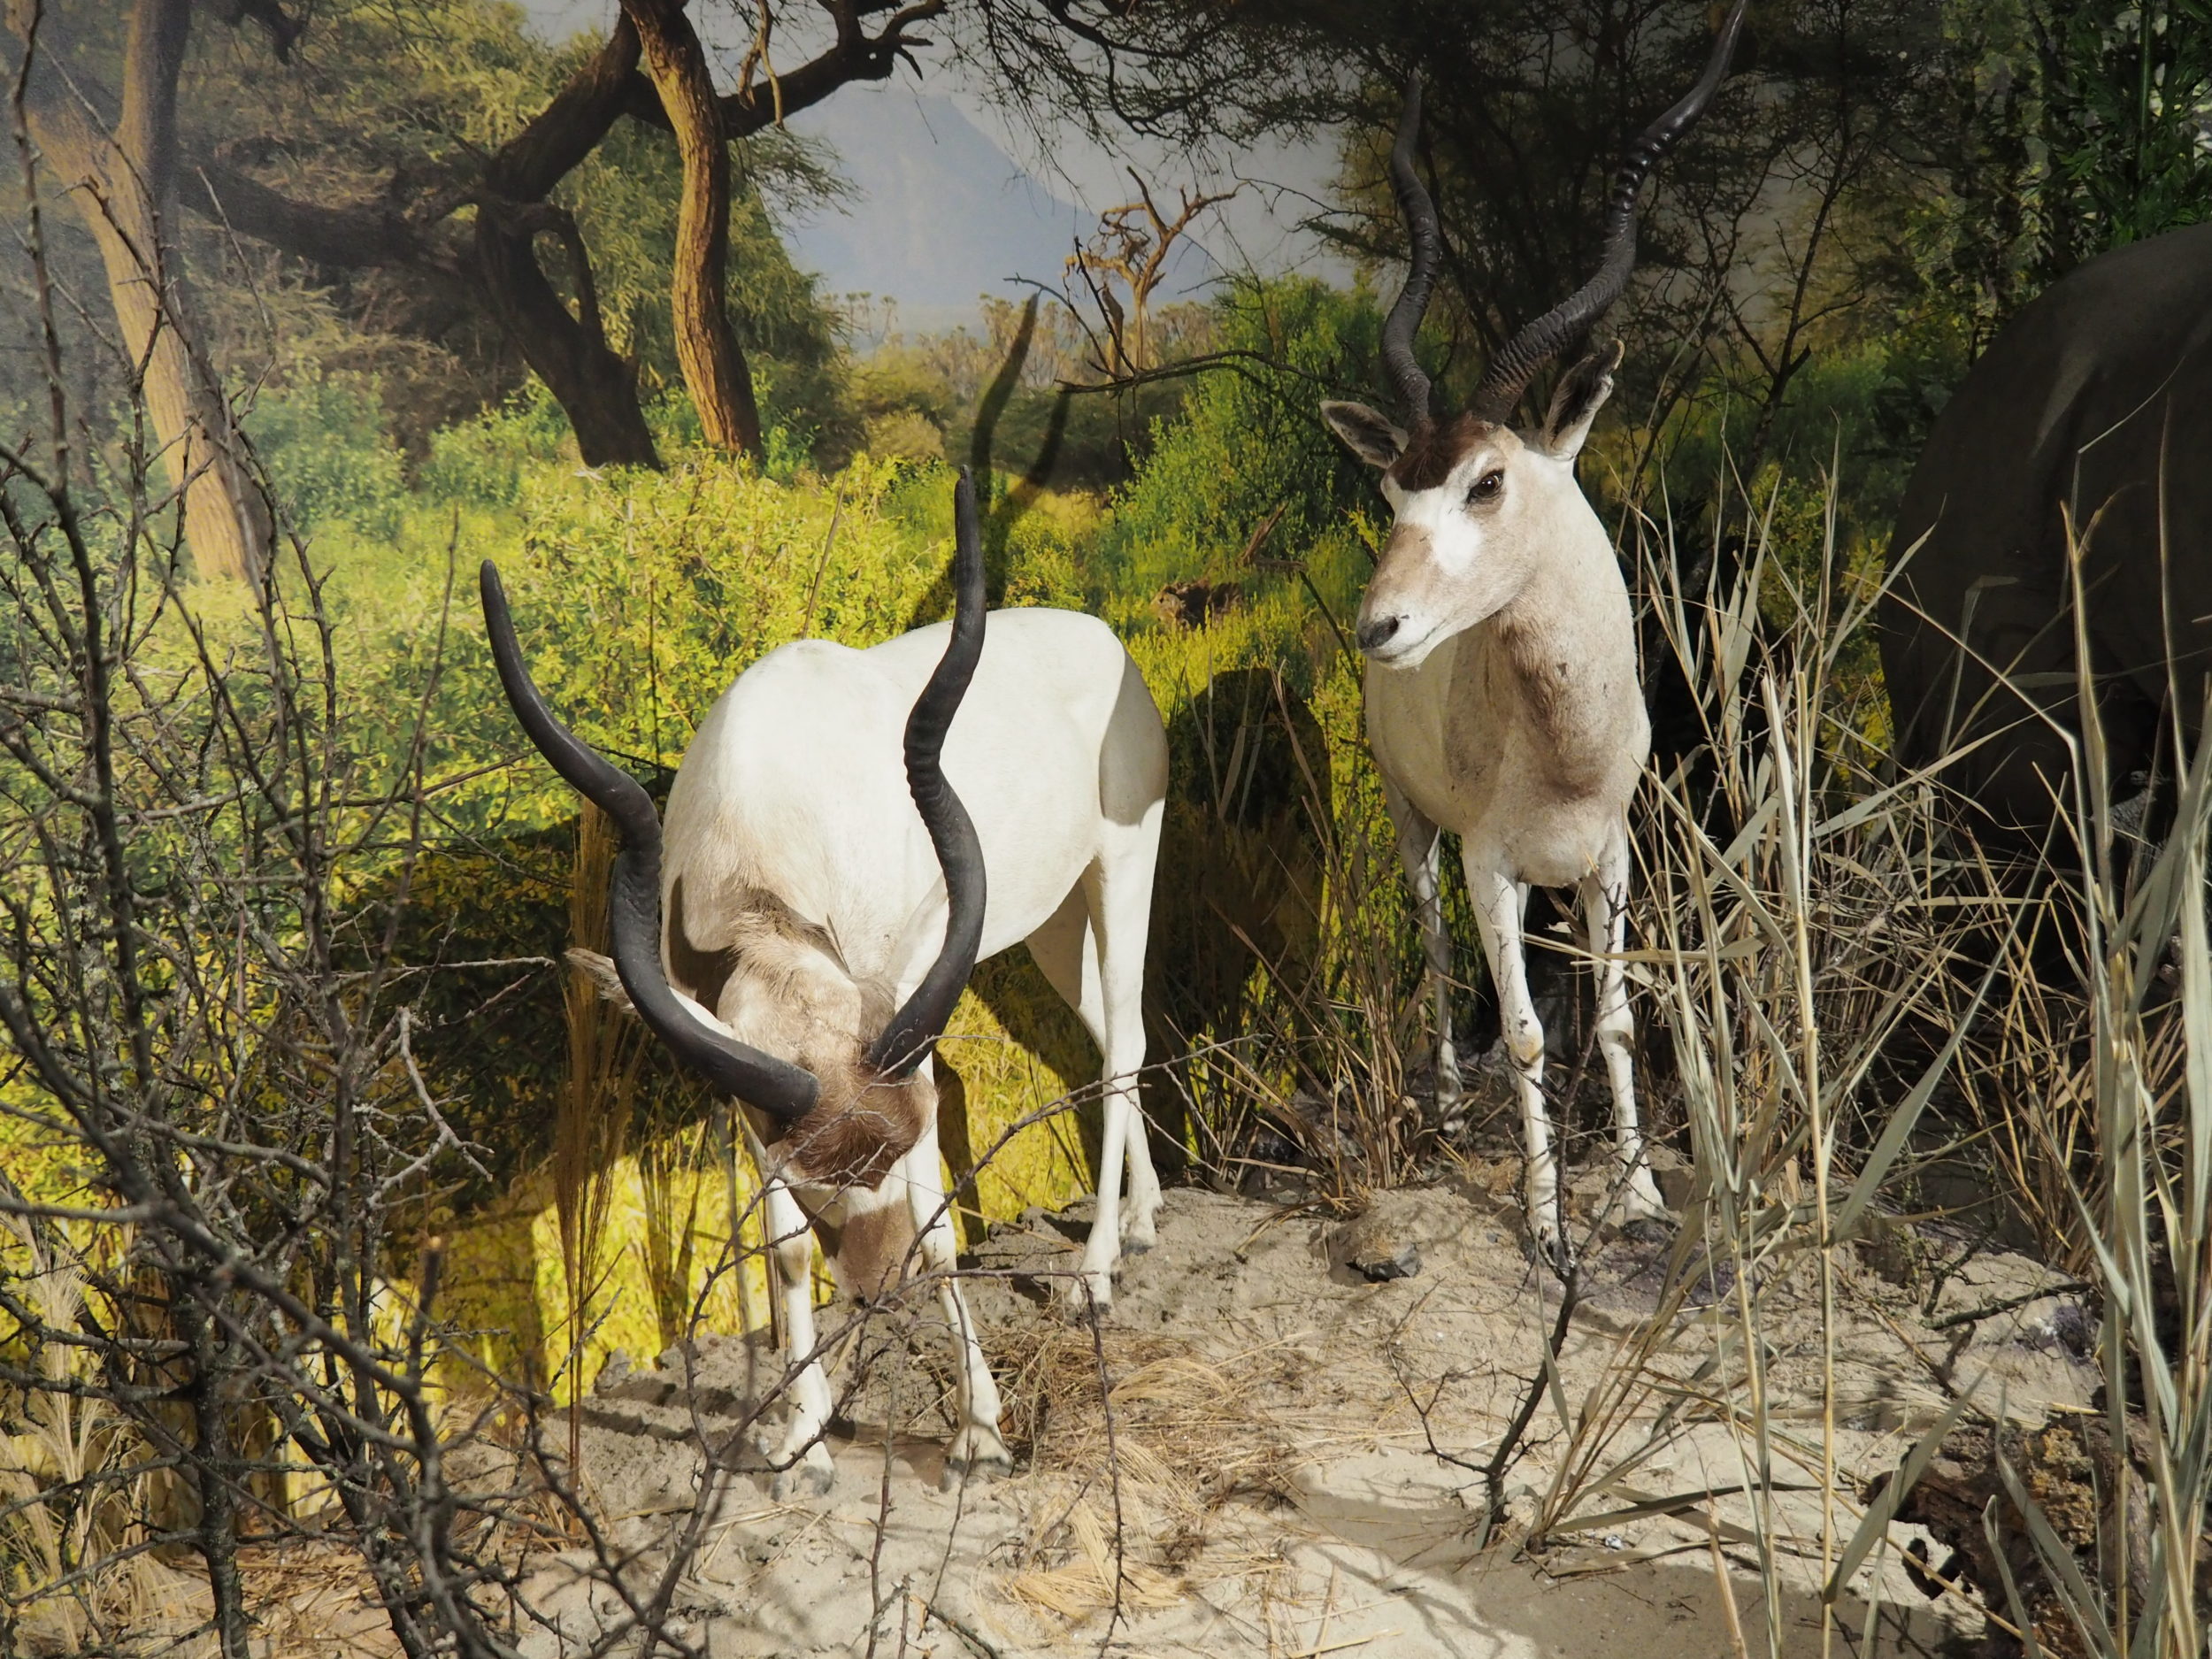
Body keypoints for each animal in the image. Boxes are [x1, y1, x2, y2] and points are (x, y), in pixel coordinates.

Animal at [484, 469, 1177, 1495]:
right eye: (808, 1172)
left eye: (907, 1136)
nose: (880, 1288)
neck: (766, 807)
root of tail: (1104, 638)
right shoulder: (744, 1084)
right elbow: (780, 1254)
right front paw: (800, 1439)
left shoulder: (905, 1030)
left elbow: (940, 1224)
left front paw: (977, 1434)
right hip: (1052, 923)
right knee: (1107, 1033)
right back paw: (1142, 1217)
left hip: (1123, 864)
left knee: (1125, 1039)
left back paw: (1094, 1271)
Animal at [1318, 3, 1752, 1274]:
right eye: (1395, 490)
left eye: (1488, 480)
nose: (1381, 625)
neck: (1563, 739)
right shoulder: (1490, 865)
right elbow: (1518, 1032)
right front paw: (1549, 1226)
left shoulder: (1608, 856)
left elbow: (1611, 1016)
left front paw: (1644, 1195)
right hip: (1415, 828)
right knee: (1432, 949)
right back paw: (1454, 1115)